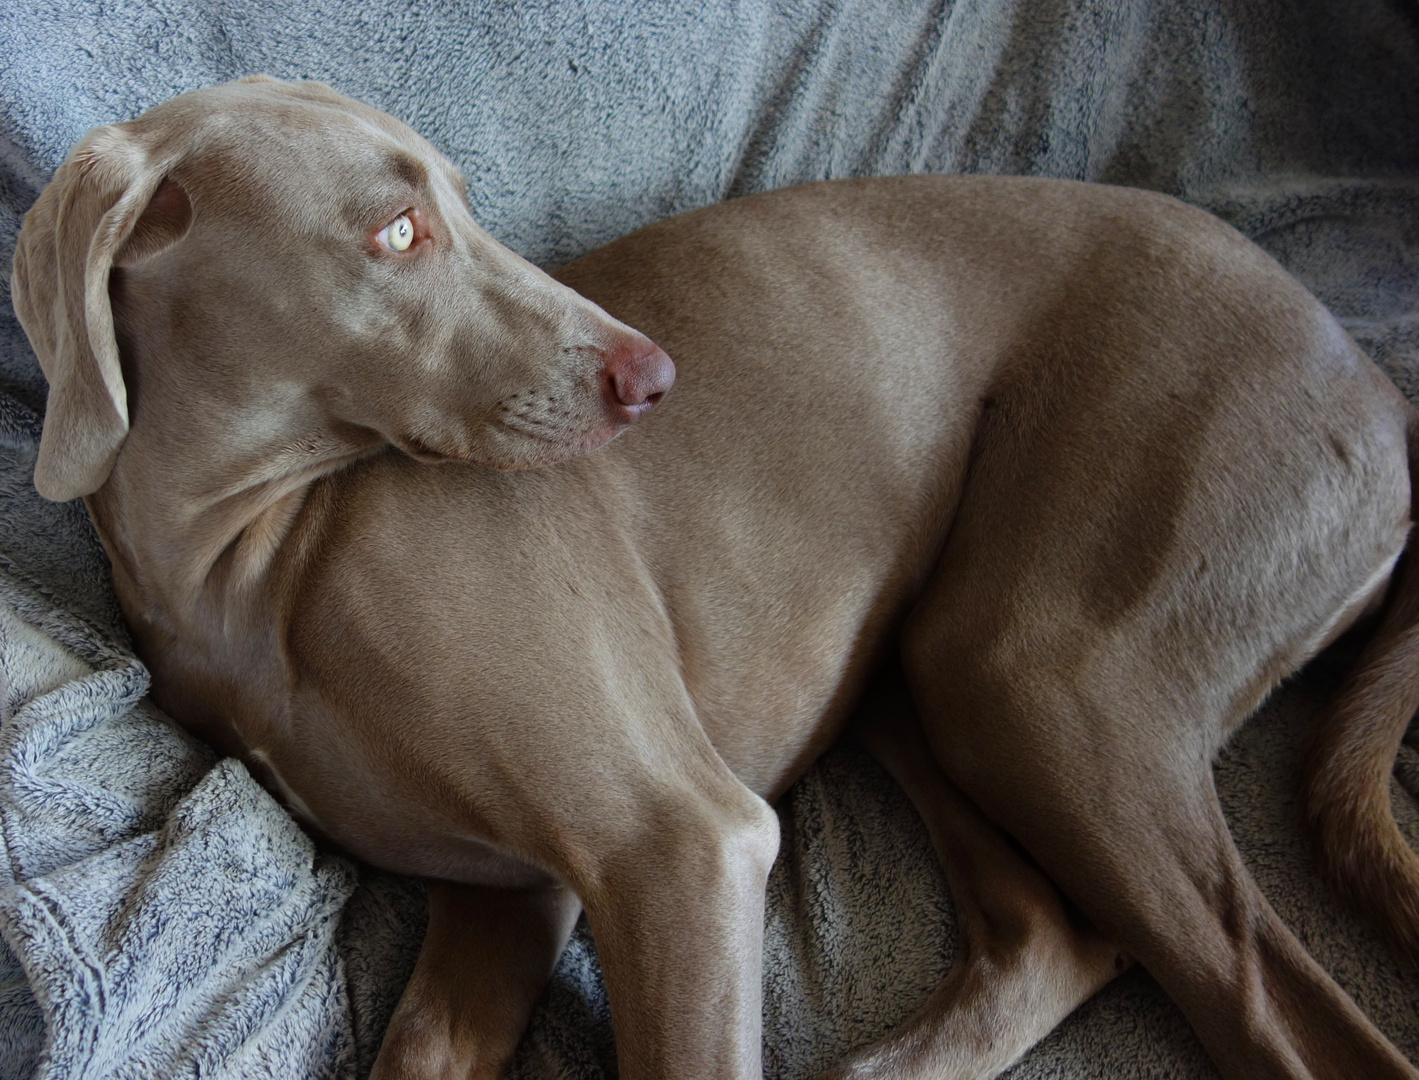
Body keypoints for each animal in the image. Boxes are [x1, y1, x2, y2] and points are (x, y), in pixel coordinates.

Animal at [11, 75, 1419, 1078]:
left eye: (459, 202)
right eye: (396, 230)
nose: (657, 376)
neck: (251, 562)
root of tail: (1378, 383)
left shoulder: (674, 843)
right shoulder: (505, 901)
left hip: (1044, 672)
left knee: (1282, 1013)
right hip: (933, 671)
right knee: (1056, 944)